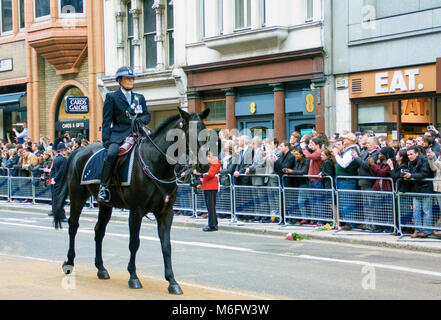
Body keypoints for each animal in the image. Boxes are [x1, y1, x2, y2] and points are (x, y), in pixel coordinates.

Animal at [53, 108, 211, 296]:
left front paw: (172, 281)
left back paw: (101, 268)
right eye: (190, 133)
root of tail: (79, 150)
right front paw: (133, 276)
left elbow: (166, 246)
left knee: (99, 231)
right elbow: (134, 243)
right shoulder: (136, 212)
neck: (156, 163)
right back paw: (69, 262)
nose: (205, 166)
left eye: (206, 133)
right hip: (77, 197)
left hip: (105, 205)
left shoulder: (166, 213)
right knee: (73, 226)